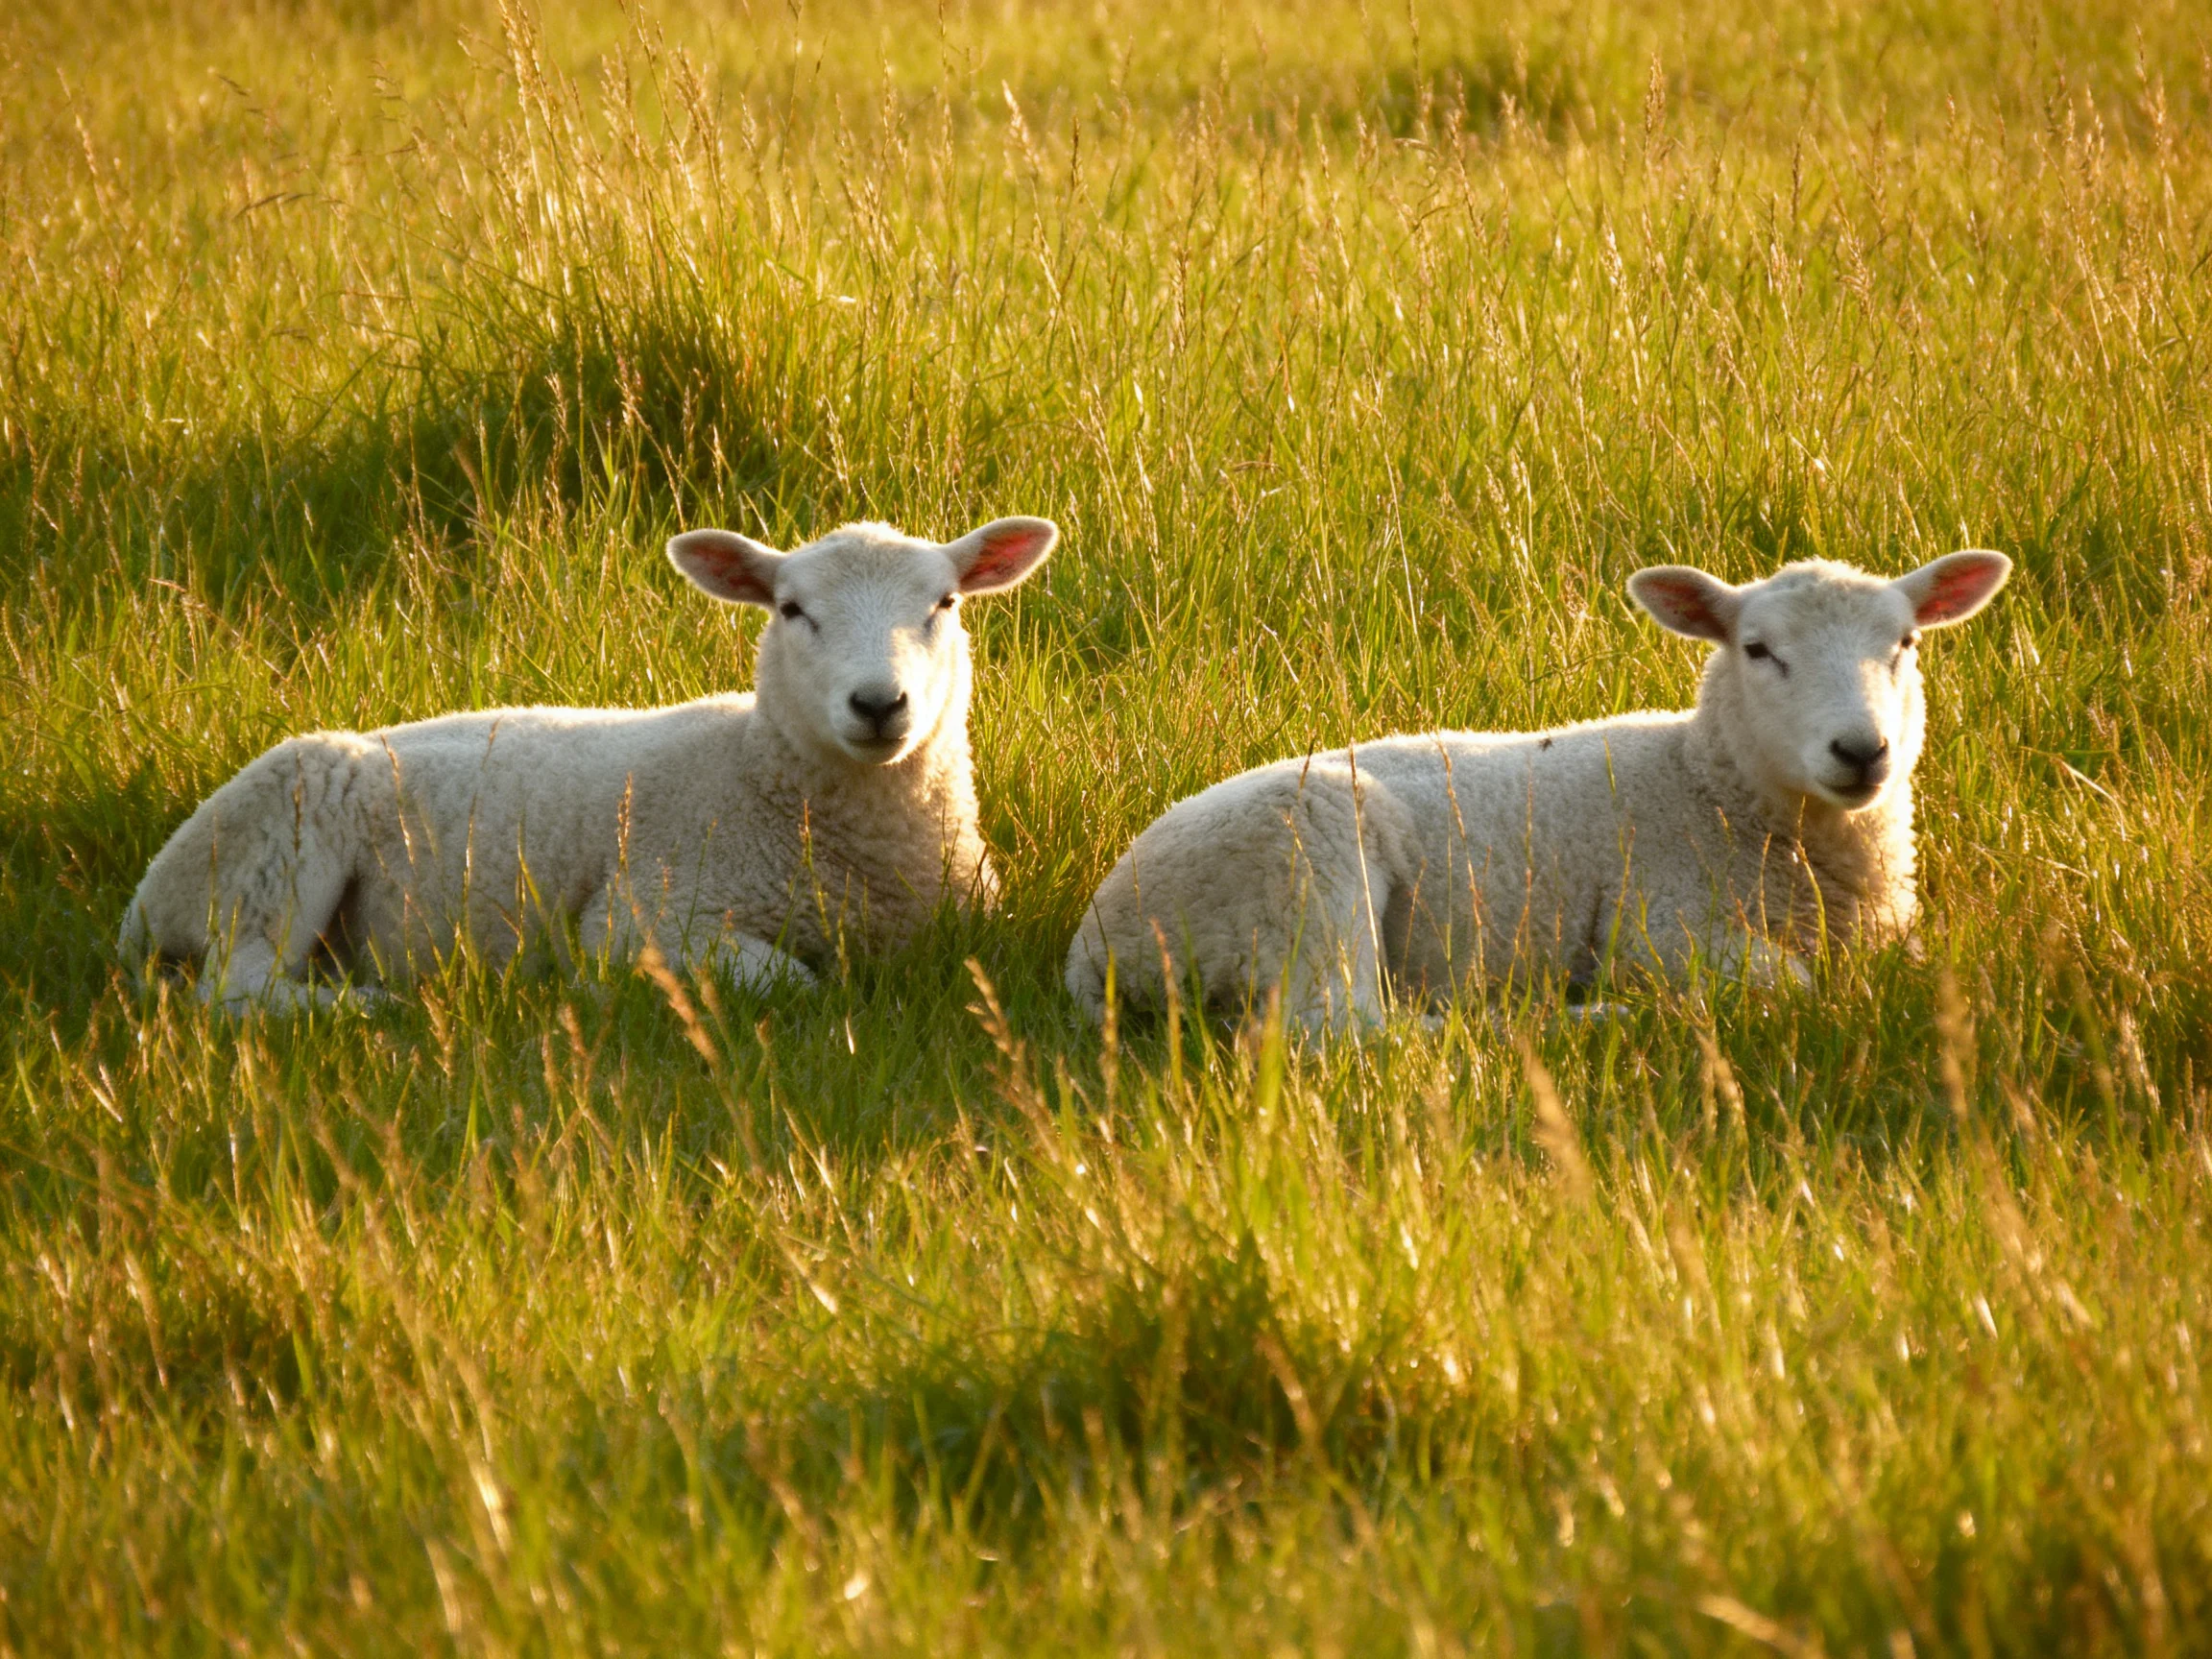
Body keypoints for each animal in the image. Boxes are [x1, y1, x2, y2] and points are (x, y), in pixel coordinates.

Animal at [121, 515, 1058, 1009]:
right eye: (793, 610)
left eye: (945, 603)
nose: (878, 704)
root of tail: (148, 895)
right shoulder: (644, 915)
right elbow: (792, 982)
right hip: (276, 850)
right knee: (238, 990)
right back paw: (384, 1008)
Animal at [1066, 550, 2011, 1033]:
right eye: (1757, 649)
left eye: (1906, 643)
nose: (1862, 750)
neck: (1704, 783)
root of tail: (1093, 944)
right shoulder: (1662, 922)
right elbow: (1797, 986)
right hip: (1307, 861)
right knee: (1340, 1027)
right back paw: (1567, 1019)